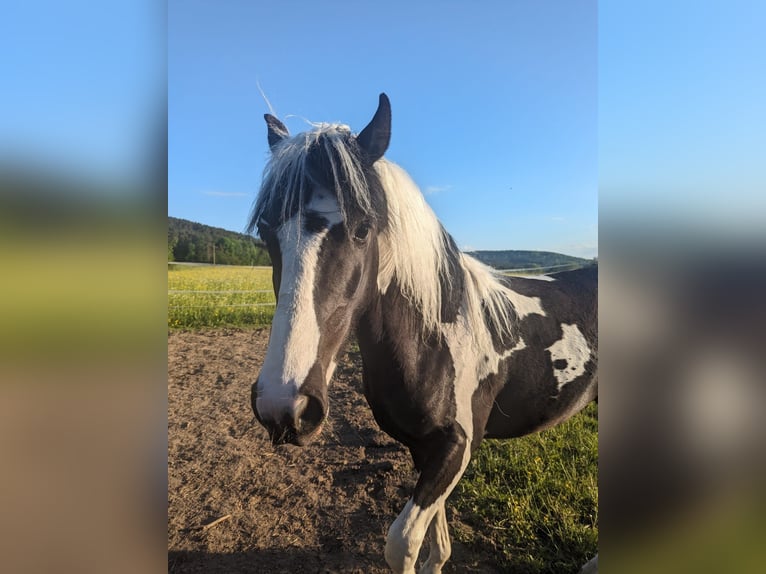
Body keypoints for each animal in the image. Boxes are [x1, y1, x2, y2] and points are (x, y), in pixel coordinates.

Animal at [252, 95, 600, 574]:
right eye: (266, 230)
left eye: (362, 229)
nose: (284, 408)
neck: (437, 338)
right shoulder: (426, 448)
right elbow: (437, 535)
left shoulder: (458, 447)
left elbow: (402, 542)